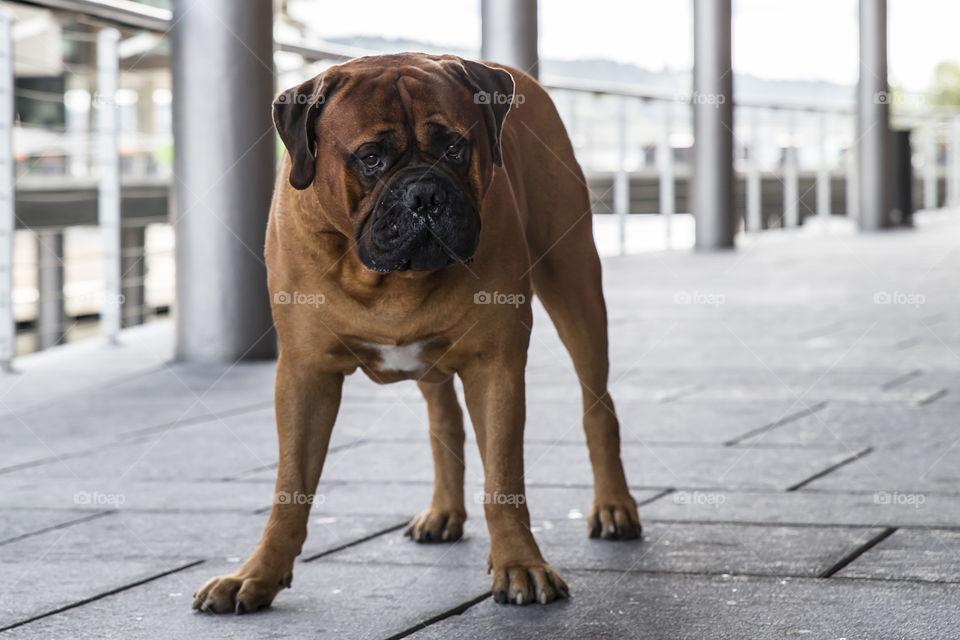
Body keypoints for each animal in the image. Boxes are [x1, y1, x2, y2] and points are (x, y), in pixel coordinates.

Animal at [191, 52, 640, 612]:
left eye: (455, 147)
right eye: (370, 158)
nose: (424, 193)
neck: (386, 282)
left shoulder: (495, 365)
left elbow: (503, 477)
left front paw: (519, 563)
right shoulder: (304, 373)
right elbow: (291, 485)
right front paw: (258, 574)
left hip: (575, 283)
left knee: (598, 405)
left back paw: (615, 505)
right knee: (444, 421)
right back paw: (444, 512)